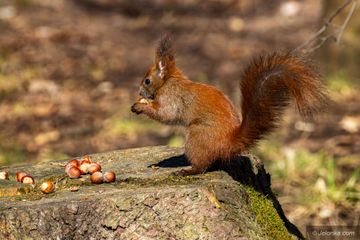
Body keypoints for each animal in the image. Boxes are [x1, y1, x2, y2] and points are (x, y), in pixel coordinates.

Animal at [131, 34, 328, 175]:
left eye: (147, 81)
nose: (140, 93)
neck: (169, 81)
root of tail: (228, 140)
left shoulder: (172, 97)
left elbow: (166, 114)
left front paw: (140, 107)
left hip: (197, 136)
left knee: (202, 166)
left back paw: (187, 171)